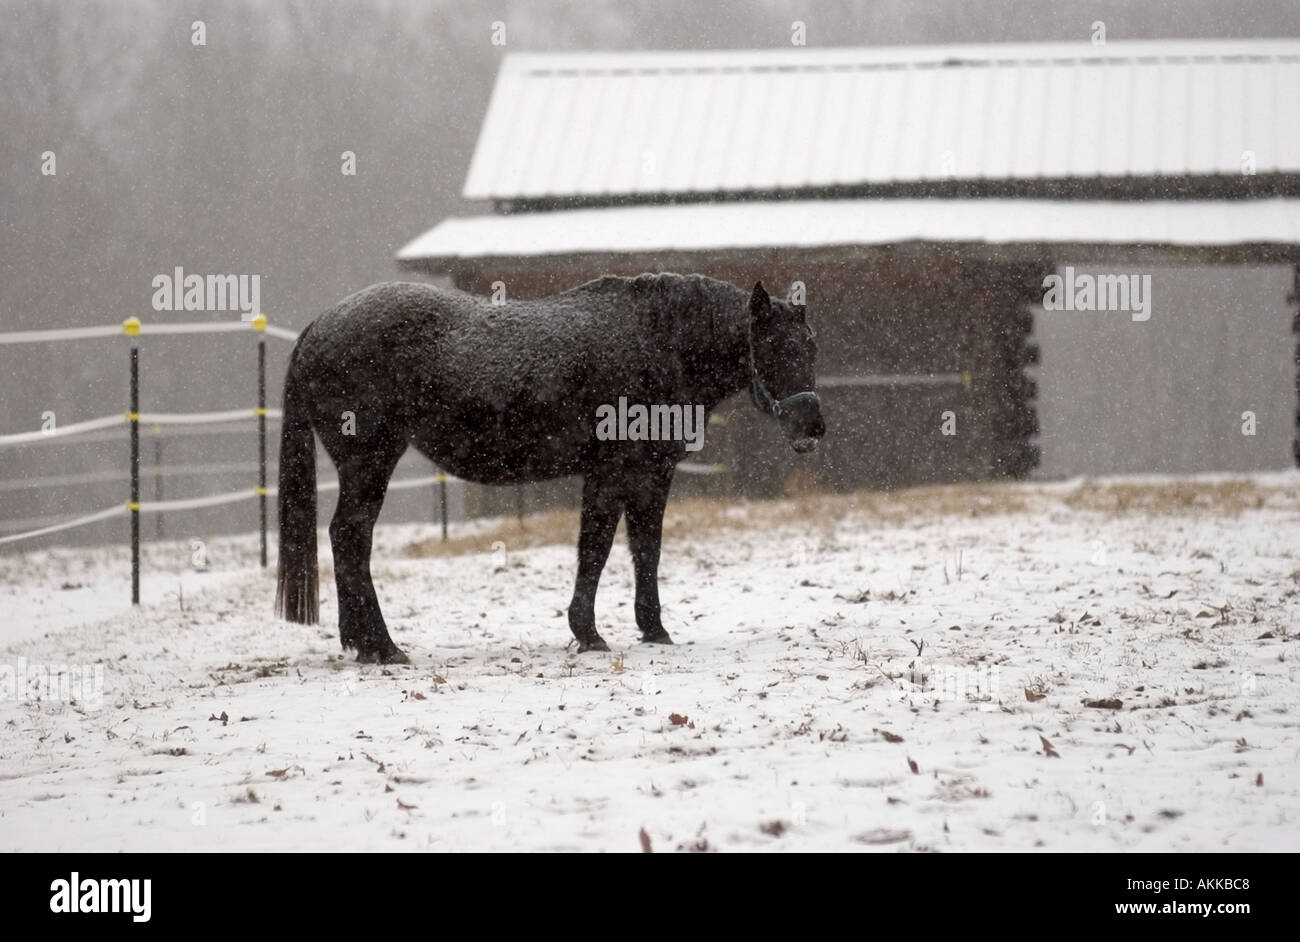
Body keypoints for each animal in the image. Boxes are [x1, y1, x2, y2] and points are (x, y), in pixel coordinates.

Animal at [274, 274, 821, 662]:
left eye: (811, 347)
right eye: (772, 347)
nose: (811, 428)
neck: (657, 341)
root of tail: (318, 328)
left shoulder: (652, 474)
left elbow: (646, 550)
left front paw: (654, 630)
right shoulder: (610, 473)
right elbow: (596, 549)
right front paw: (589, 633)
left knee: (348, 539)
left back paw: (362, 644)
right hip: (370, 463)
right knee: (351, 537)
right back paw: (383, 647)